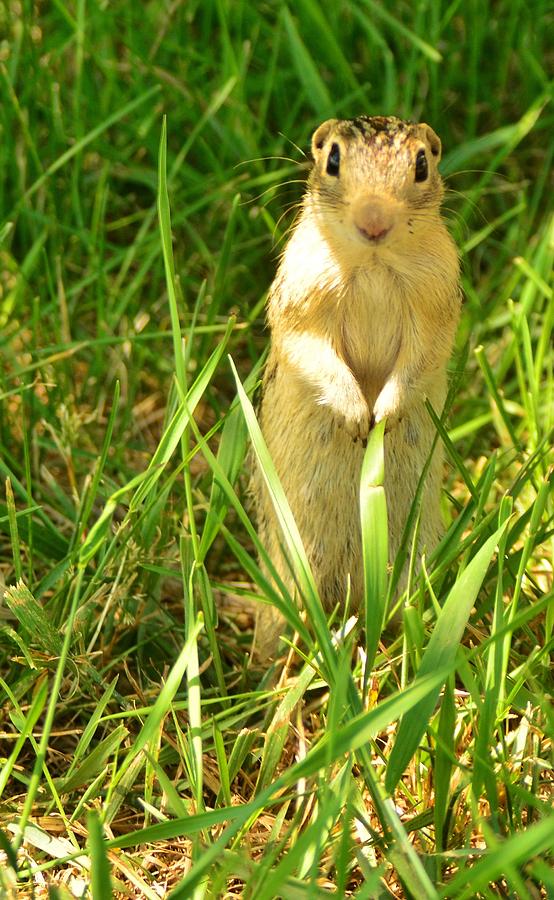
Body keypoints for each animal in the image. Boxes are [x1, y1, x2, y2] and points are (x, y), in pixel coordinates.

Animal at [252, 116, 460, 656]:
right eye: (332, 159)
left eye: (422, 164)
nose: (374, 222)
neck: (373, 263)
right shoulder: (303, 297)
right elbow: (311, 349)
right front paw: (355, 414)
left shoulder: (436, 304)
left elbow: (422, 357)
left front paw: (383, 415)